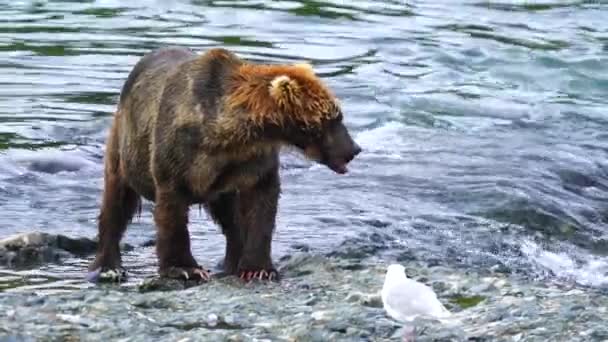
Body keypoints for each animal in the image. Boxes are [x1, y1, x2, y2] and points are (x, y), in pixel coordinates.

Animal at [85, 46, 360, 284]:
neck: (228, 136)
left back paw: (231, 261)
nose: (354, 150)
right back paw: (107, 266)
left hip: (220, 185)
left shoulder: (249, 162)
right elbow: (171, 211)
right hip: (124, 144)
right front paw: (185, 268)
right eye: (333, 118)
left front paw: (258, 268)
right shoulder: (177, 154)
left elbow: (261, 205)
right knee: (116, 201)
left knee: (230, 218)